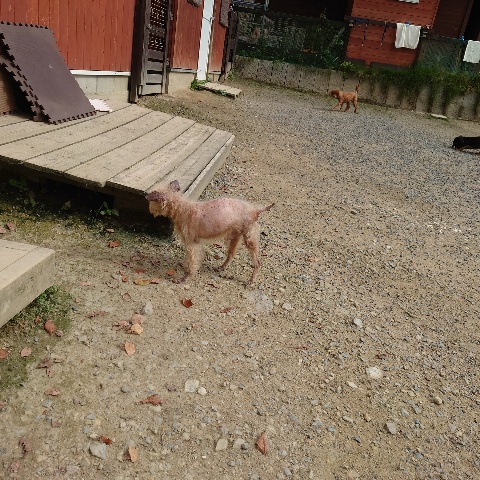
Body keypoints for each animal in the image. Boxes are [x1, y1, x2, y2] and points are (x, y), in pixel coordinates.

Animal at [145, 180, 274, 286]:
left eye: (152, 202)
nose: (150, 210)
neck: (181, 208)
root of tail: (255, 210)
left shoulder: (191, 244)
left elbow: (192, 263)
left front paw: (184, 278)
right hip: (235, 236)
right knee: (231, 254)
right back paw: (221, 267)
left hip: (249, 239)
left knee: (257, 263)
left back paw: (251, 281)